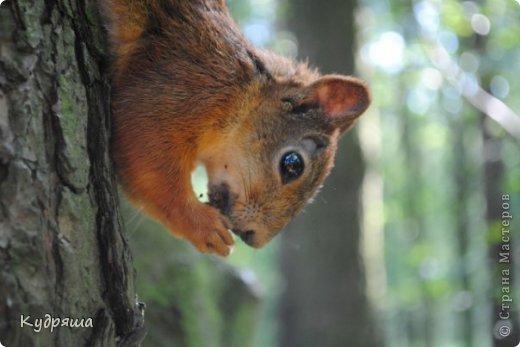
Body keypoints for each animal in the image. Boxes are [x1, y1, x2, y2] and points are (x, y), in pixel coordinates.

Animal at [102, 0, 370, 256]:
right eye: (292, 164)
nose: (253, 237)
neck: (244, 94)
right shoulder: (183, 86)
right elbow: (148, 157)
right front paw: (203, 226)